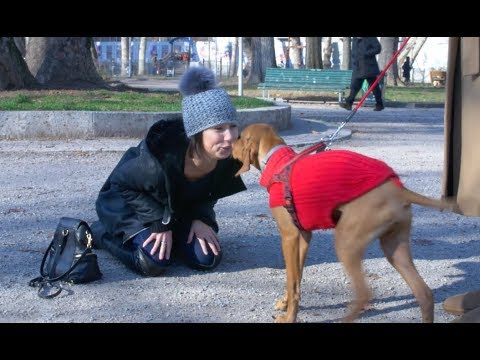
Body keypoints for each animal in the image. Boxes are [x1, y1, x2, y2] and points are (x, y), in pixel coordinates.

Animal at [232, 124, 458, 324]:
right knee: (424, 293)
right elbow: (296, 277)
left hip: (346, 243)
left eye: (239, 136)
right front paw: (286, 303)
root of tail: (398, 189)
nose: (230, 144)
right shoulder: (303, 237)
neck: (278, 161)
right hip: (394, 247)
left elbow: (291, 279)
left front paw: (289, 317)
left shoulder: (289, 237)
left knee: (364, 294)